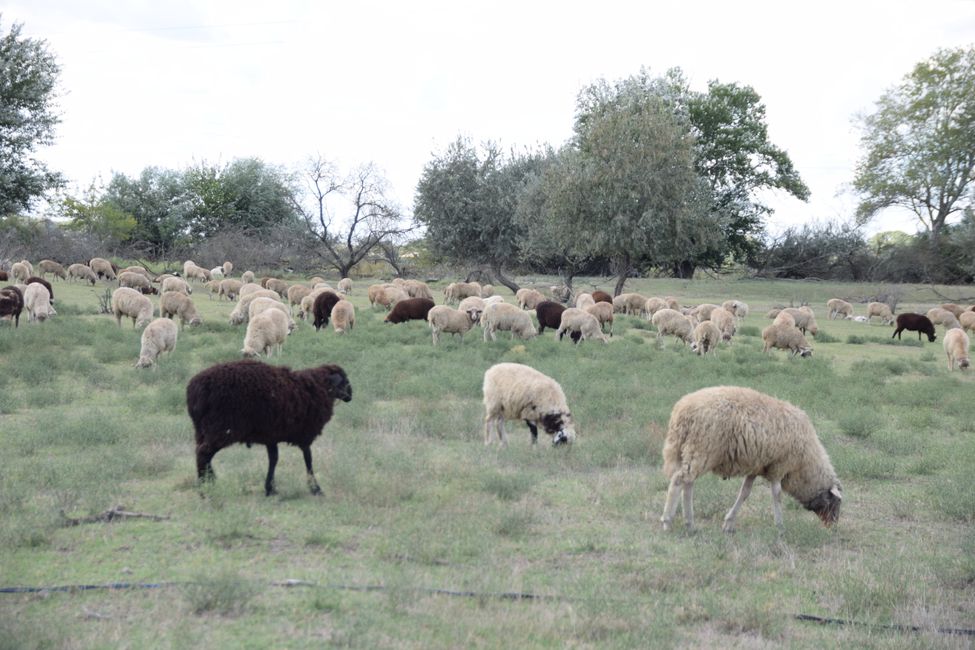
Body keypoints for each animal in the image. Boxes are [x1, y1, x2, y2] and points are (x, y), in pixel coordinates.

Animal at [187, 359, 352, 496]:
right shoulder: (304, 435)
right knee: (204, 453)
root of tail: (195, 389)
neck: (316, 388)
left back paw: (210, 481)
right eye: (343, 382)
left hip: (202, 430)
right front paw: (315, 488)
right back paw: (204, 489)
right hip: (220, 427)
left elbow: (274, 459)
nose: (350, 396)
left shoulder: (271, 435)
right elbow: (308, 459)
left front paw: (270, 488)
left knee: (202, 453)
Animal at [660, 386, 842, 532]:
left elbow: (745, 493)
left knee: (688, 483)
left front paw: (728, 524)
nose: (833, 527)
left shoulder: (757, 466)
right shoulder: (780, 466)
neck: (805, 465)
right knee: (679, 480)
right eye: (835, 503)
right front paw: (780, 526)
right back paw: (667, 522)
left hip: (688, 451)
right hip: (702, 449)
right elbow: (777, 495)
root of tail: (682, 411)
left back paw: (689, 524)